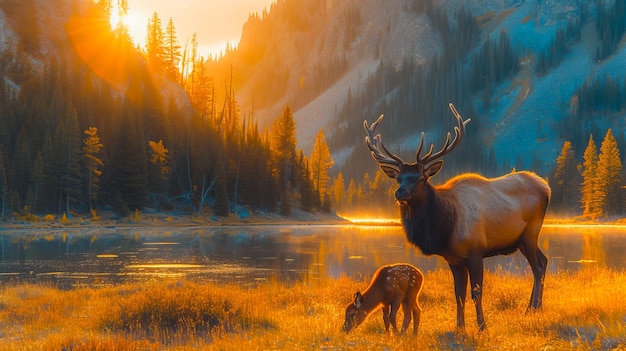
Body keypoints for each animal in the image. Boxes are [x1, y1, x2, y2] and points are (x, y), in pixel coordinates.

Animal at [364, 103, 548, 332]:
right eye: (398, 178)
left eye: (421, 178)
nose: (400, 193)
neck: (444, 229)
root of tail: (546, 187)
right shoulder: (453, 259)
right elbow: (458, 294)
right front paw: (459, 326)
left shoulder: (476, 252)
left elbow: (476, 292)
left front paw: (482, 326)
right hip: (520, 239)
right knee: (544, 261)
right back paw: (533, 308)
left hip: (531, 232)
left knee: (537, 267)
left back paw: (533, 309)